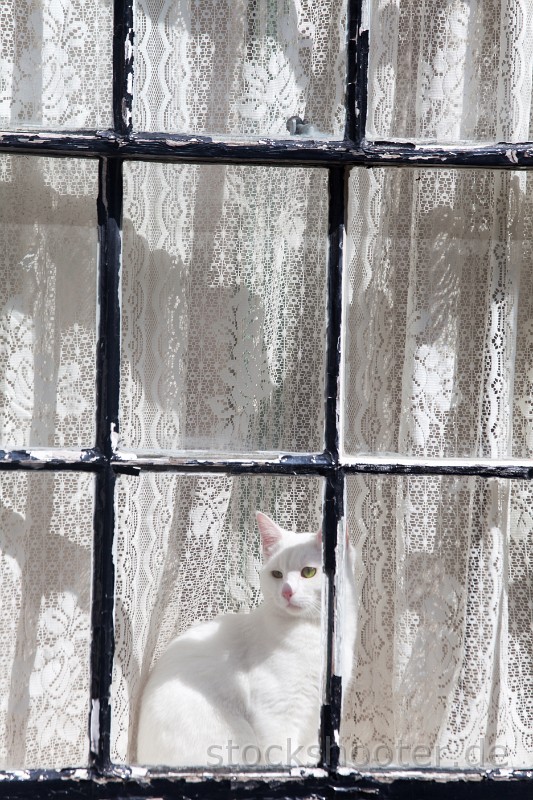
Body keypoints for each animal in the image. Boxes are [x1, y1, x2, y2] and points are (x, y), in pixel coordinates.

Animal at [135, 512, 356, 768]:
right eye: (277, 574)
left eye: (309, 572)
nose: (286, 592)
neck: (312, 633)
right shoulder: (276, 713)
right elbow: (282, 757)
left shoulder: (313, 719)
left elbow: (305, 755)